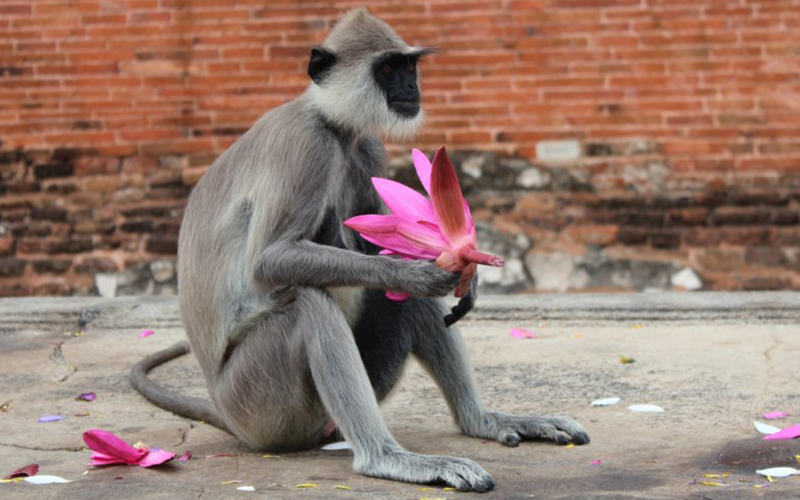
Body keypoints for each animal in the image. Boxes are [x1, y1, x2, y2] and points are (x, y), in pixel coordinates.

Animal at [130, 8, 588, 492]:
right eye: (387, 70)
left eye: (408, 67)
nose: (410, 87)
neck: (332, 124)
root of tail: (228, 415)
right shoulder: (307, 144)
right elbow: (269, 261)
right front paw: (414, 273)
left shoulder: (365, 147)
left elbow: (375, 242)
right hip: (259, 403)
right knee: (308, 305)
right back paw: (385, 458)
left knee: (407, 306)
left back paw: (482, 421)